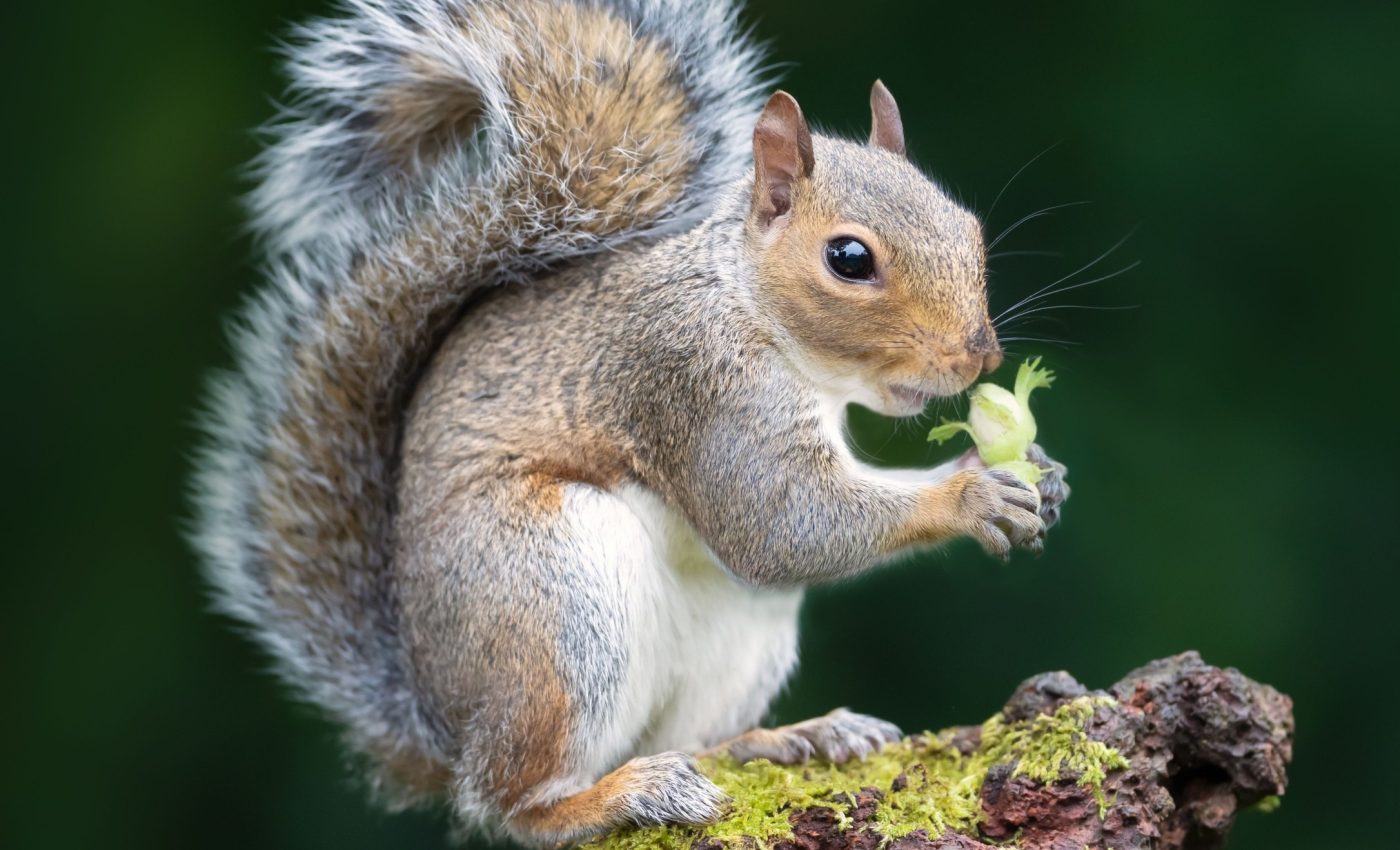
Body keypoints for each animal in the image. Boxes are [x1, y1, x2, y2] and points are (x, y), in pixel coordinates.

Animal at [192, 0, 1069, 845]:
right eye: (849, 259)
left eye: (967, 226)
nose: (978, 358)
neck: (745, 305)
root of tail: (440, 726)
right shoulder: (695, 386)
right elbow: (779, 526)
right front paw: (972, 497)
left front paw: (1033, 476)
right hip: (550, 602)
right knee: (509, 803)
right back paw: (616, 796)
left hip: (736, 637)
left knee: (687, 737)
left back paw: (786, 738)